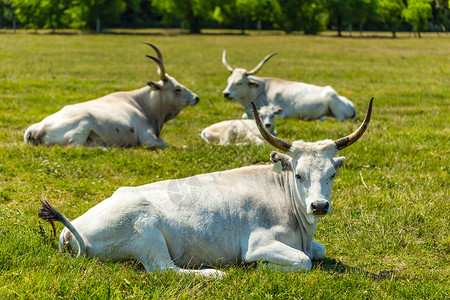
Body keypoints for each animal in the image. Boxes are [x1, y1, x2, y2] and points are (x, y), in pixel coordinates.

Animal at [24, 42, 199, 149]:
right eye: (177, 89)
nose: (196, 98)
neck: (141, 104)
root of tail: (38, 127)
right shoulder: (148, 138)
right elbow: (167, 144)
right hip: (82, 126)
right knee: (76, 146)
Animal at [37, 99, 372, 278]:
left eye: (331, 174)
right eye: (299, 175)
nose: (319, 206)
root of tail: (72, 229)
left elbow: (318, 251)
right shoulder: (258, 243)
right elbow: (303, 260)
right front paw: (262, 267)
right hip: (146, 234)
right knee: (164, 269)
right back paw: (215, 273)